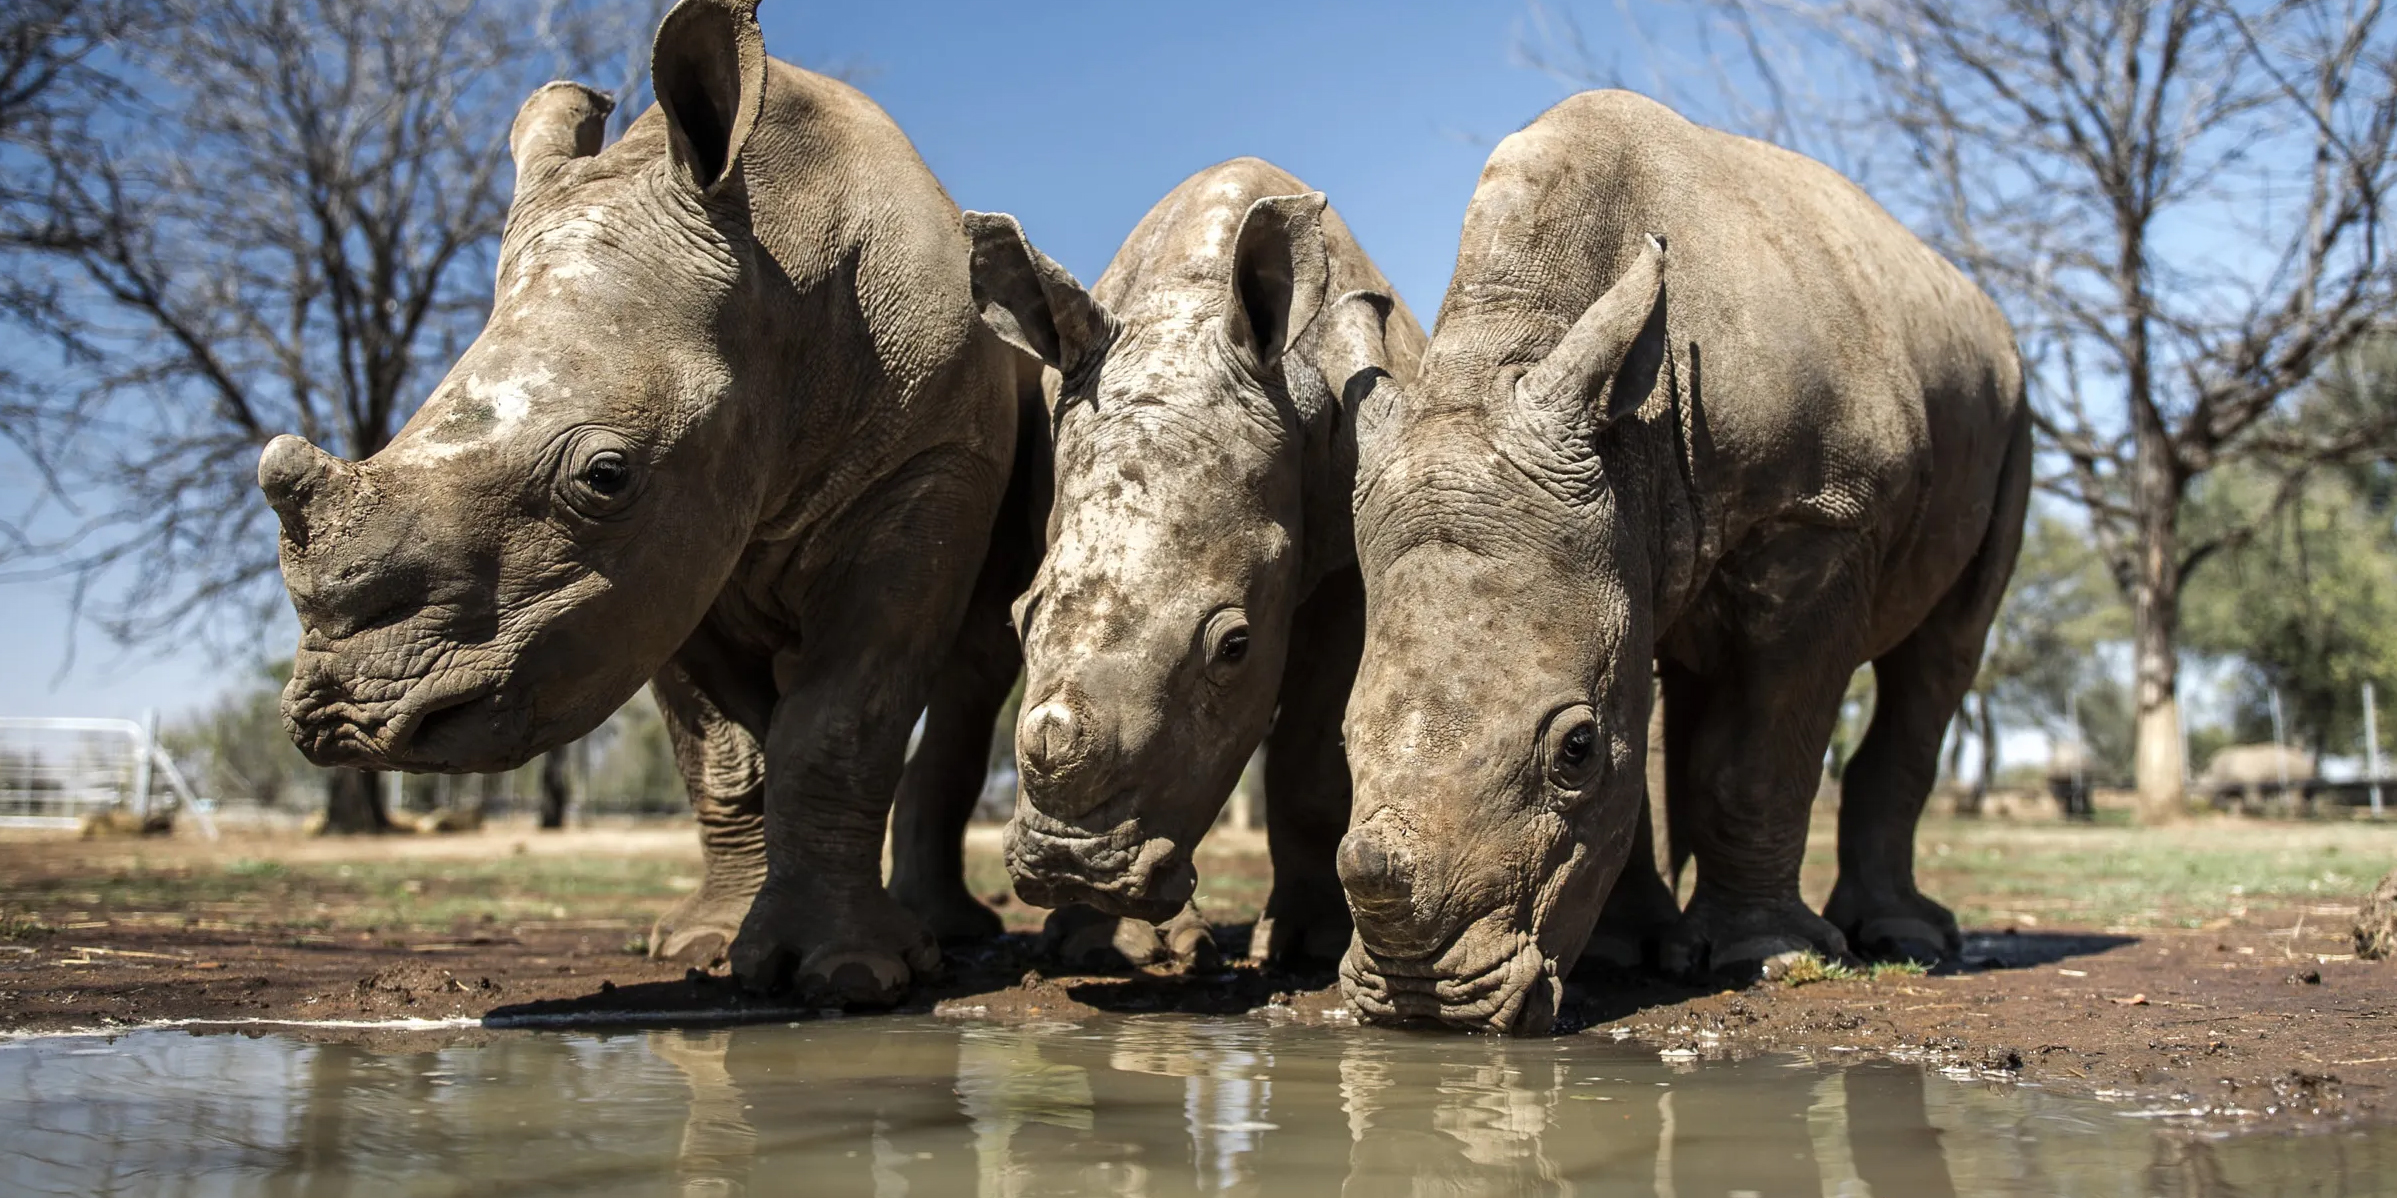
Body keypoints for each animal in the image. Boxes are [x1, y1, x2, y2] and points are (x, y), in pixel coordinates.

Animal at [256, 0, 1042, 1003]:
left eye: (605, 476)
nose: (343, 721)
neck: (776, 263)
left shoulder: (923, 467)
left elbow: (839, 723)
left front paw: (848, 977)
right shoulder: (657, 564)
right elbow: (722, 752)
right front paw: (703, 948)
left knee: (973, 661)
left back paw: (944, 936)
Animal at [960, 159, 1427, 965]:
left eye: (1234, 647)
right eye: (1021, 619)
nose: (1070, 869)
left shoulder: (1349, 568)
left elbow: (1312, 752)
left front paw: (1308, 943)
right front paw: (1105, 944)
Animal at [1316, 90, 2031, 1032]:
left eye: (1574, 750)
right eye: (1342, 739)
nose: (1423, 1006)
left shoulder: (1820, 515)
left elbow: (1755, 755)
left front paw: (1765, 958)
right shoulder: (1619, 533)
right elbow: (1644, 747)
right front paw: (1623, 953)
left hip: (2011, 404)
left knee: (1945, 650)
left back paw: (1900, 939)